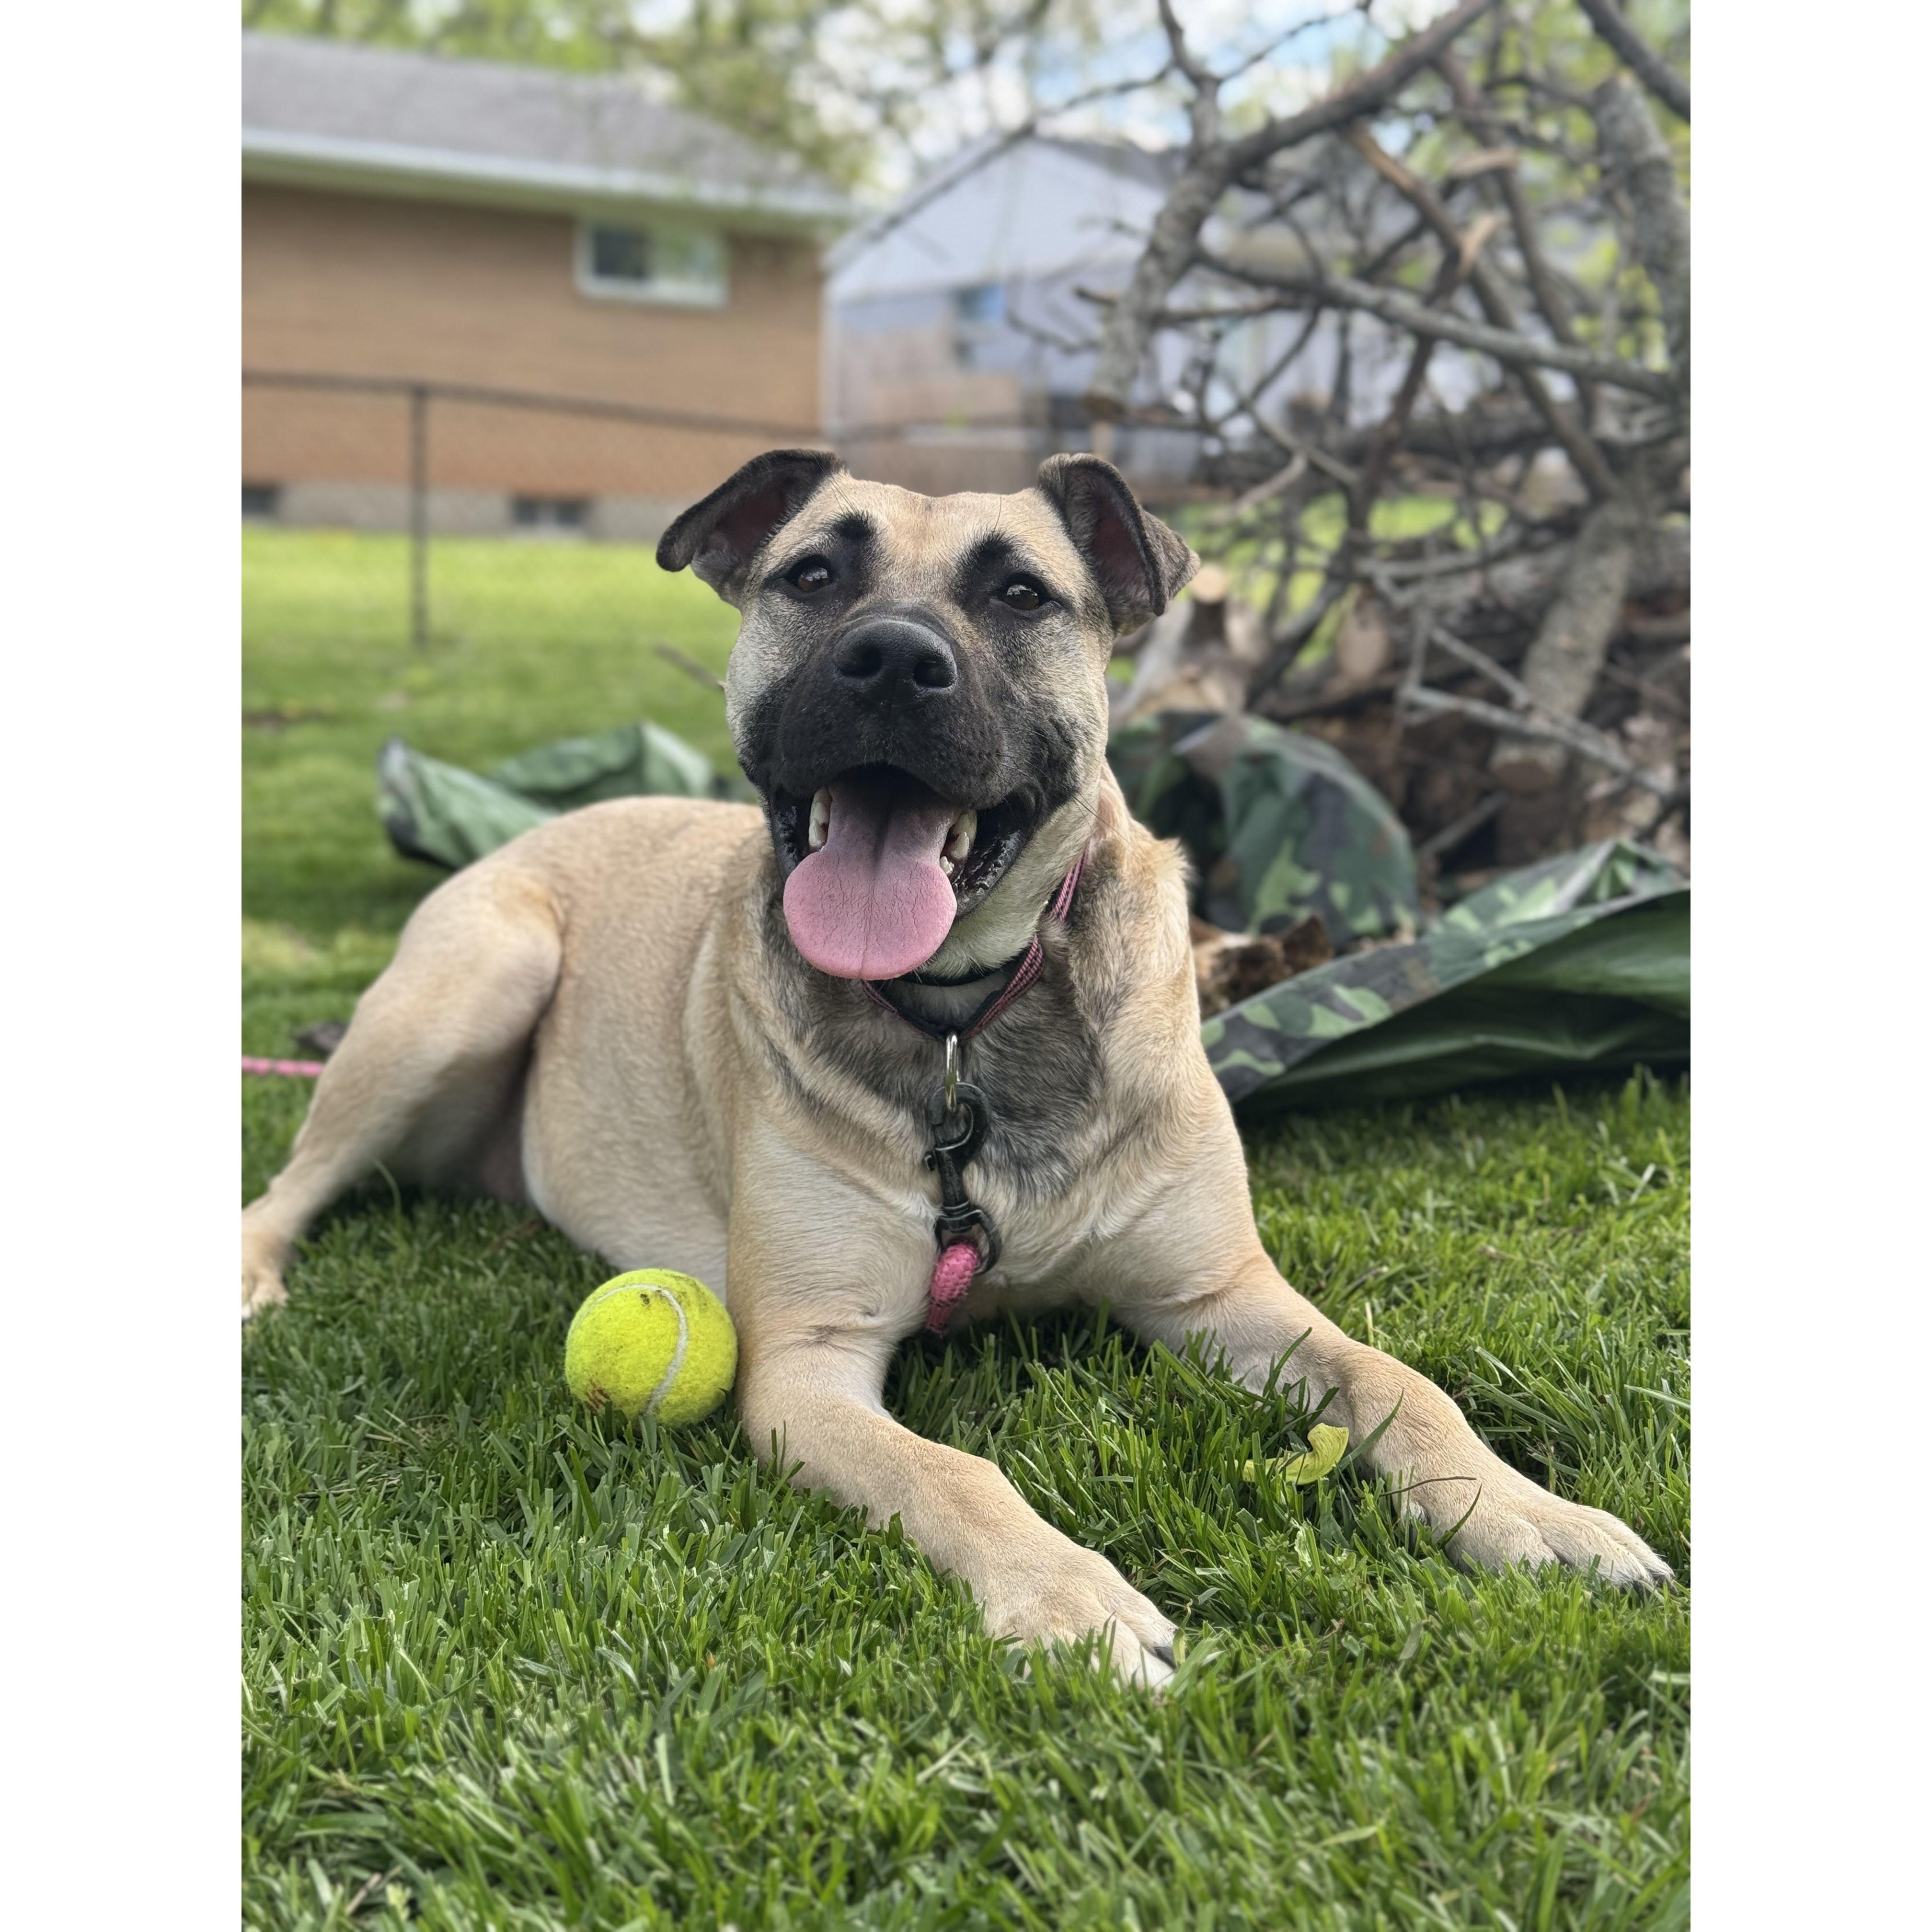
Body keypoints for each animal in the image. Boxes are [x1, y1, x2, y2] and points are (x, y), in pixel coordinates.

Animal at [241, 450, 1670, 1687]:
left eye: (1020, 593)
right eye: (814, 574)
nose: (890, 660)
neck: (963, 1026)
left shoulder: (1215, 1296)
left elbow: (1400, 1381)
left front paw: (1529, 1513)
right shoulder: (806, 1367)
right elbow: (954, 1473)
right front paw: (1074, 1598)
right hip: (474, 981)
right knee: (290, 1184)